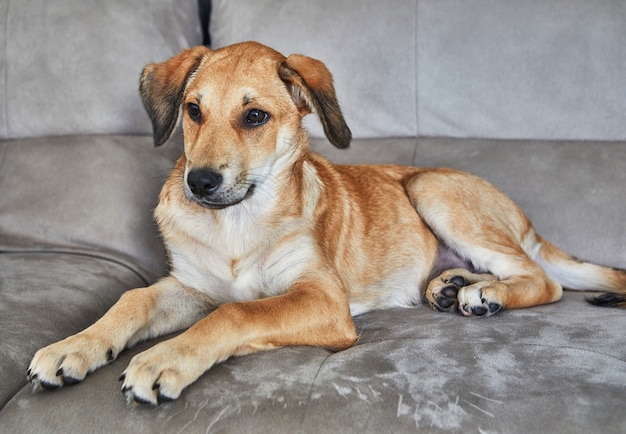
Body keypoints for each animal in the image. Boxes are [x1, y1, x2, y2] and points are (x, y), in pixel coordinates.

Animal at [28, 42, 624, 406]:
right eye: (193, 110)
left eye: (255, 117)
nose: (198, 183)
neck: (237, 224)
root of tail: (526, 222)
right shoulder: (190, 287)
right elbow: (133, 301)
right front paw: (74, 347)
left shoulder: (322, 299)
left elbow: (237, 313)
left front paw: (164, 359)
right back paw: (454, 284)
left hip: (431, 188)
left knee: (542, 281)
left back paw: (485, 293)